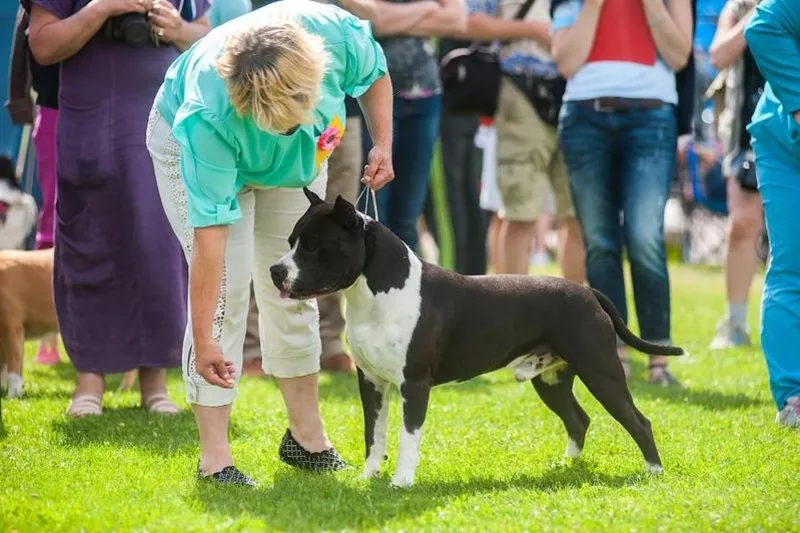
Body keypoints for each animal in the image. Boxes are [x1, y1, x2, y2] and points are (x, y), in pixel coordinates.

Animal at [270, 189, 688, 488]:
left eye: (313, 246)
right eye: (290, 240)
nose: (275, 270)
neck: (377, 291)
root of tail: (588, 292)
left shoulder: (413, 385)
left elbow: (407, 437)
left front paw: (401, 483)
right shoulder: (371, 382)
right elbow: (374, 435)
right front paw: (369, 476)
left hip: (601, 371)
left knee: (638, 420)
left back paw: (653, 473)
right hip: (551, 379)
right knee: (578, 418)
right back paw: (564, 465)